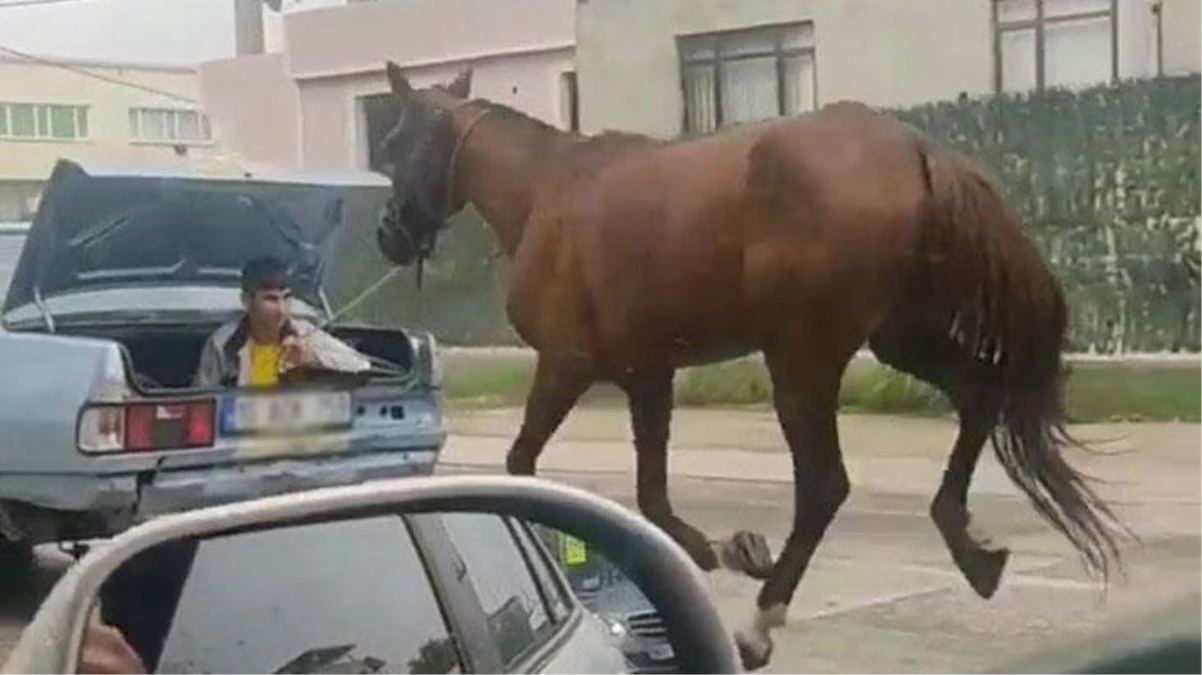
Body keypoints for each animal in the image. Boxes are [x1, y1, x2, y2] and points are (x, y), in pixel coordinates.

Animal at [375, 61, 1125, 667]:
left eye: (392, 143)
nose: (389, 234)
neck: (546, 192)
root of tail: (916, 151)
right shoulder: (648, 375)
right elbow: (652, 491)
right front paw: (723, 548)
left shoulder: (566, 365)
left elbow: (523, 464)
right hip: (900, 336)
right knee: (977, 395)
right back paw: (968, 546)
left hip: (802, 357)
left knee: (824, 485)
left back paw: (763, 624)